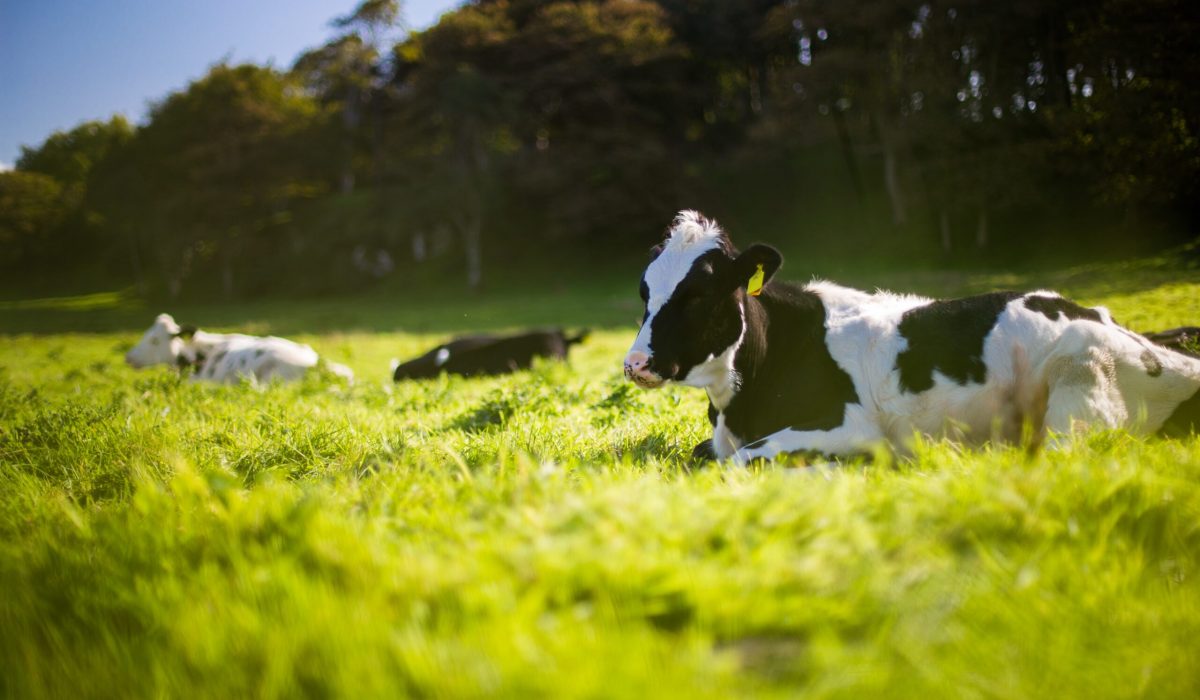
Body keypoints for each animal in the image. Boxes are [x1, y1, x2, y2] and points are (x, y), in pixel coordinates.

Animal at [623, 210, 1200, 464]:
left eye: (698, 293)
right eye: (644, 289)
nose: (635, 363)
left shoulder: (849, 424)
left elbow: (743, 459)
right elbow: (705, 454)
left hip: (1079, 388)